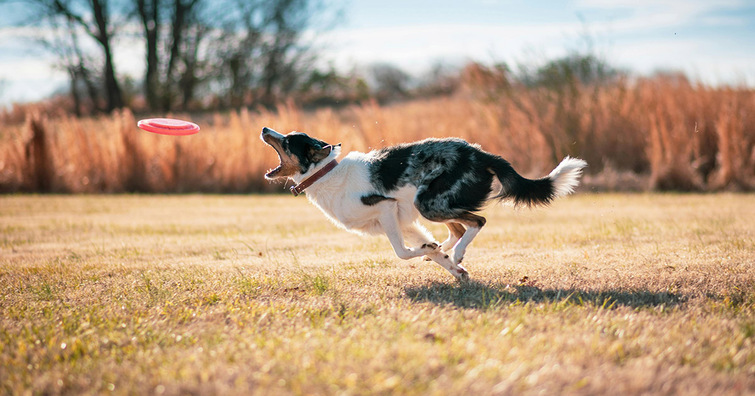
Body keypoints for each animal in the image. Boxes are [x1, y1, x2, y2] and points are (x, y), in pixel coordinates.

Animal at [262, 127, 588, 282]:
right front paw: (447, 264)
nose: (265, 129)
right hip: (431, 206)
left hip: (428, 202)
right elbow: (424, 249)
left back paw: (457, 252)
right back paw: (445, 250)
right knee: (458, 229)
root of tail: (481, 154)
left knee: (476, 223)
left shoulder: (387, 209)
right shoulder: (403, 222)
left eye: (288, 142)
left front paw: (444, 258)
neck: (327, 173)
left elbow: (402, 253)